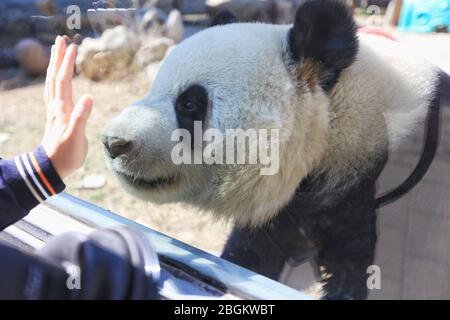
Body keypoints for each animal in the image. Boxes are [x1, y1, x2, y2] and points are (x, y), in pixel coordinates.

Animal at [102, 0, 446, 300]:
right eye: (153, 88)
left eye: (189, 104)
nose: (114, 142)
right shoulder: (284, 213)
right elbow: (250, 254)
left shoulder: (363, 189)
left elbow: (352, 269)